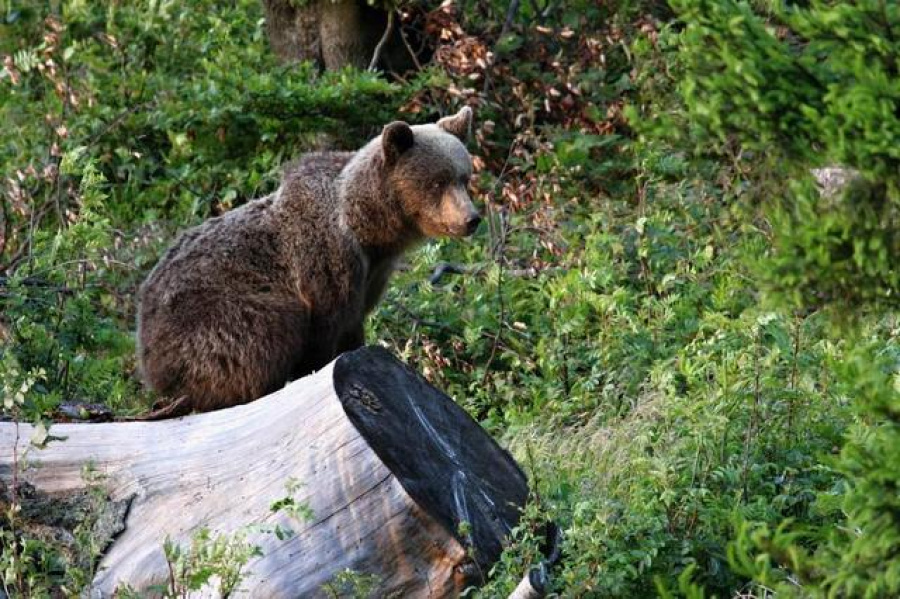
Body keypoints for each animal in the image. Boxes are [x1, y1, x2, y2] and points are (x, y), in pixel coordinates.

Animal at [135, 108, 478, 414]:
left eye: (464, 177)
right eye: (437, 182)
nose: (471, 218)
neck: (368, 227)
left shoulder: (372, 273)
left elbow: (353, 325)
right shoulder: (327, 260)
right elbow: (323, 330)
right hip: (207, 316)